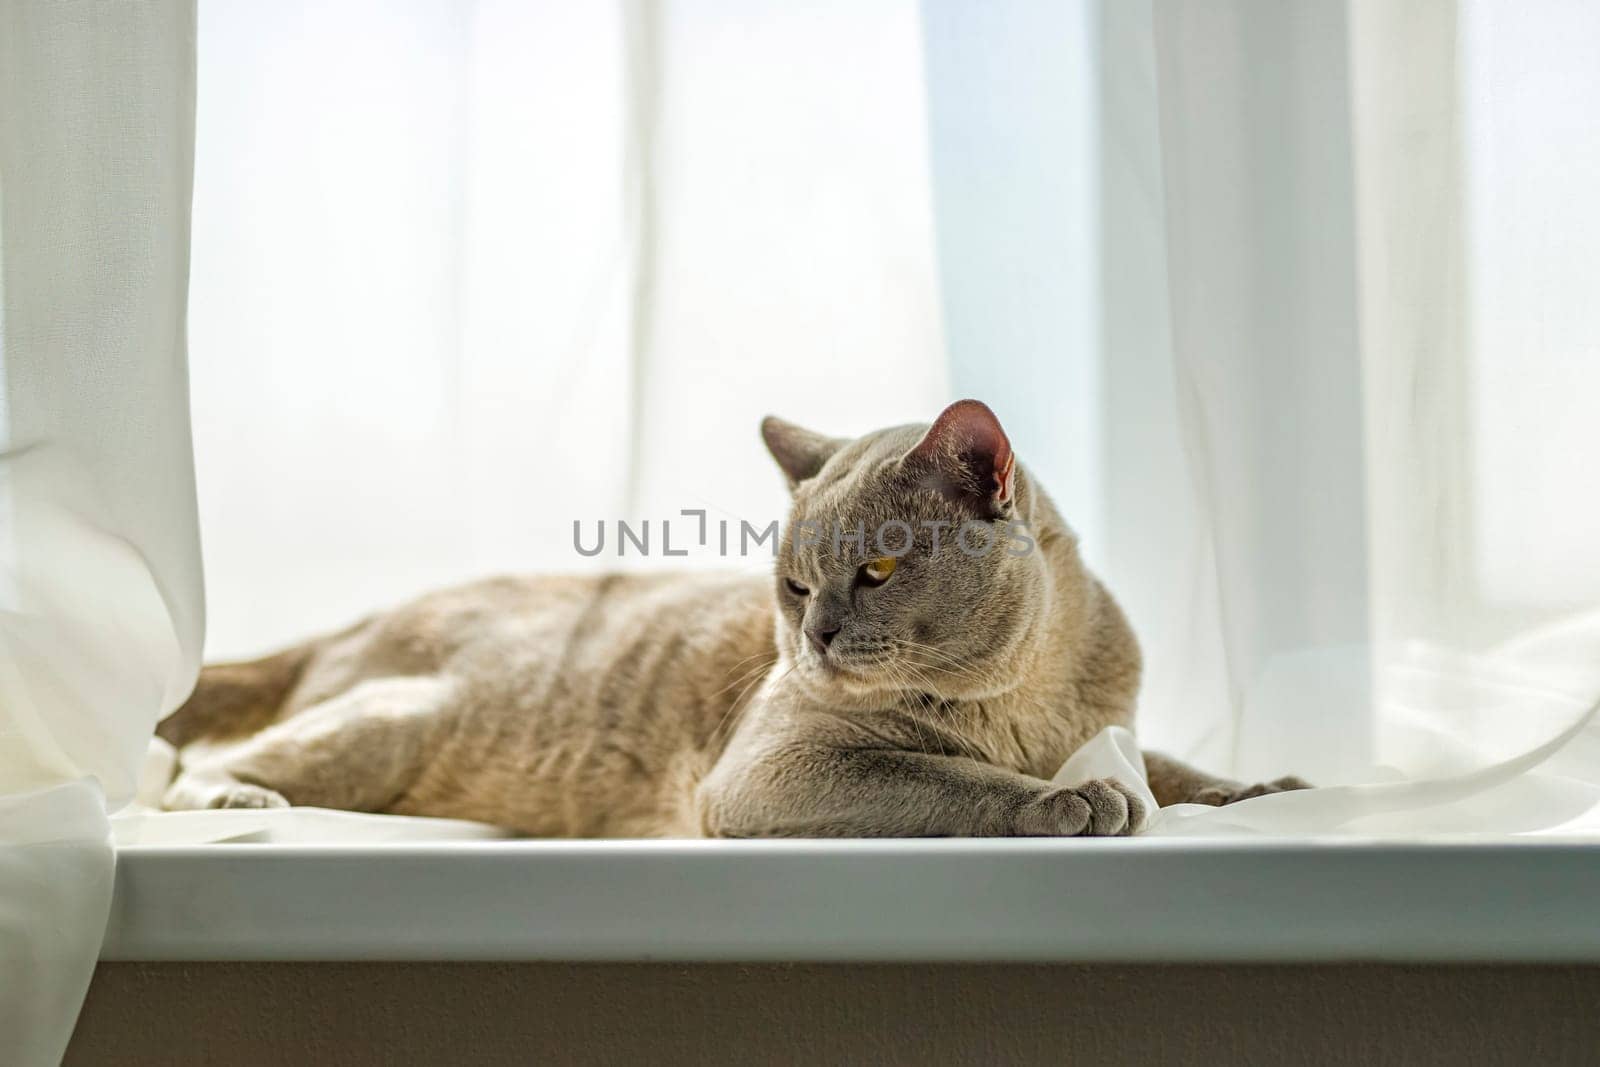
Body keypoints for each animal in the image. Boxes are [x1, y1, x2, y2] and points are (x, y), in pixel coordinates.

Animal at [156, 399, 1305, 831]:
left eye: (877, 568)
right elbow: (952, 779)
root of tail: (362, 615)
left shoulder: (1107, 722)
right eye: (792, 585)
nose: (814, 635)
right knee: (198, 764)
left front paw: (1257, 786)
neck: (1028, 698)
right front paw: (1067, 799)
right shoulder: (771, 769)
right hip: (395, 719)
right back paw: (235, 802)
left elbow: (1169, 764)